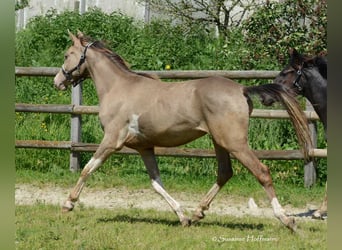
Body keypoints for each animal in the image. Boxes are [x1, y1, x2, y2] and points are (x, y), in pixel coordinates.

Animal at [53, 31, 312, 232]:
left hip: (235, 143)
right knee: (224, 173)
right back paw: (198, 213)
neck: (118, 88)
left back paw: (287, 220)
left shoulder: (112, 141)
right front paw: (183, 216)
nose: (57, 81)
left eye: (67, 54)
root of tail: (242, 89)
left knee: (262, 172)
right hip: (219, 141)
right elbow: (156, 183)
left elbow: (87, 169)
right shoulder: (144, 147)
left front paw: (68, 204)